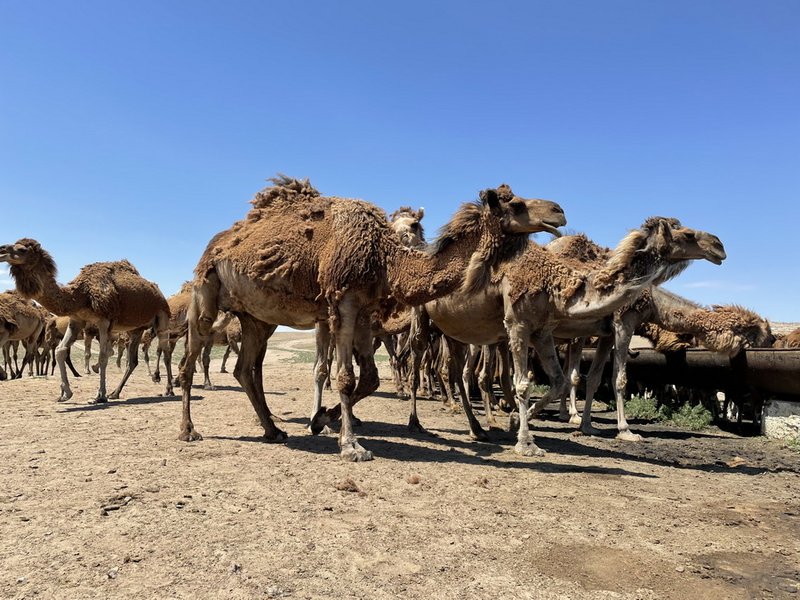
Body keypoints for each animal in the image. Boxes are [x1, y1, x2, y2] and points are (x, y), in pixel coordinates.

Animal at [0, 239, 175, 404]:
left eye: (22, 249)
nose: (1, 250)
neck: (81, 295)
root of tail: (158, 292)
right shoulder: (76, 320)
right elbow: (60, 351)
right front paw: (65, 394)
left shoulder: (104, 321)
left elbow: (103, 356)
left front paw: (99, 396)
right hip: (135, 329)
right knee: (132, 361)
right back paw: (115, 393)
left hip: (162, 316)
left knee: (166, 352)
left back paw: (169, 390)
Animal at [181, 176, 568, 462]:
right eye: (515, 204)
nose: (559, 211)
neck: (384, 259)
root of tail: (220, 242)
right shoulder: (343, 302)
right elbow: (344, 377)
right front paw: (351, 446)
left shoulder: (365, 313)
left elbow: (368, 379)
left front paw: (323, 419)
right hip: (206, 291)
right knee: (192, 359)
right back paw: (189, 430)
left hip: (256, 317)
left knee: (246, 369)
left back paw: (274, 430)